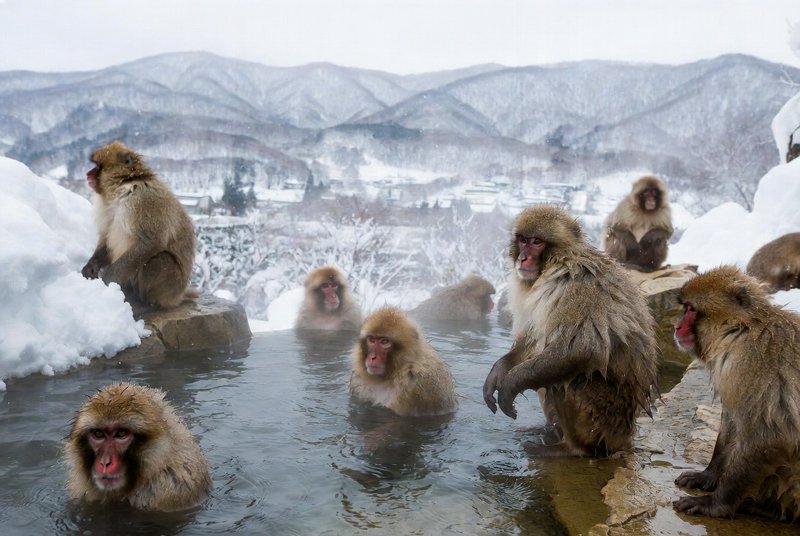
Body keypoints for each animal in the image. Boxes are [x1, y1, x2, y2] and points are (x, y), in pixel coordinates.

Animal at [80, 141, 197, 311]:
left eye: (98, 166)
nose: (88, 174)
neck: (123, 185)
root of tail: (178, 296)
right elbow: (106, 238)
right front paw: (91, 266)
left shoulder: (144, 200)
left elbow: (151, 242)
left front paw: (106, 278)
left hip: (171, 286)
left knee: (159, 258)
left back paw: (147, 304)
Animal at [483, 205, 659, 457]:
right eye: (523, 240)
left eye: (537, 242)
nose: (523, 258)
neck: (560, 259)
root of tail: (626, 438)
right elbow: (532, 338)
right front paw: (499, 371)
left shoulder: (578, 285)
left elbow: (582, 349)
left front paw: (510, 384)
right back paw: (548, 430)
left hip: (605, 423)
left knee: (571, 378)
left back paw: (570, 449)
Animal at [672, 266, 800, 521]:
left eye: (691, 309)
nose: (677, 326)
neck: (740, 329)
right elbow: (732, 422)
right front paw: (708, 475)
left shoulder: (751, 363)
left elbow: (771, 434)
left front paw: (715, 503)